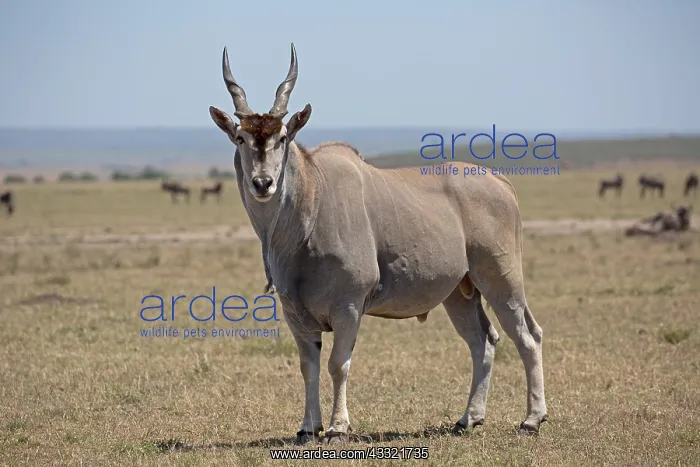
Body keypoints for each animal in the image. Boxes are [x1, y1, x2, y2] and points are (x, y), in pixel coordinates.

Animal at [208, 43, 547, 444]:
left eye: (282, 138)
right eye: (241, 138)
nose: (263, 183)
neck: (312, 200)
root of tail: (501, 182)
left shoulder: (349, 307)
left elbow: (338, 365)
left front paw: (338, 428)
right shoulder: (296, 315)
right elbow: (308, 368)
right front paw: (308, 428)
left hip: (500, 280)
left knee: (528, 336)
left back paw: (532, 419)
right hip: (459, 293)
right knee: (483, 341)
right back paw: (468, 419)